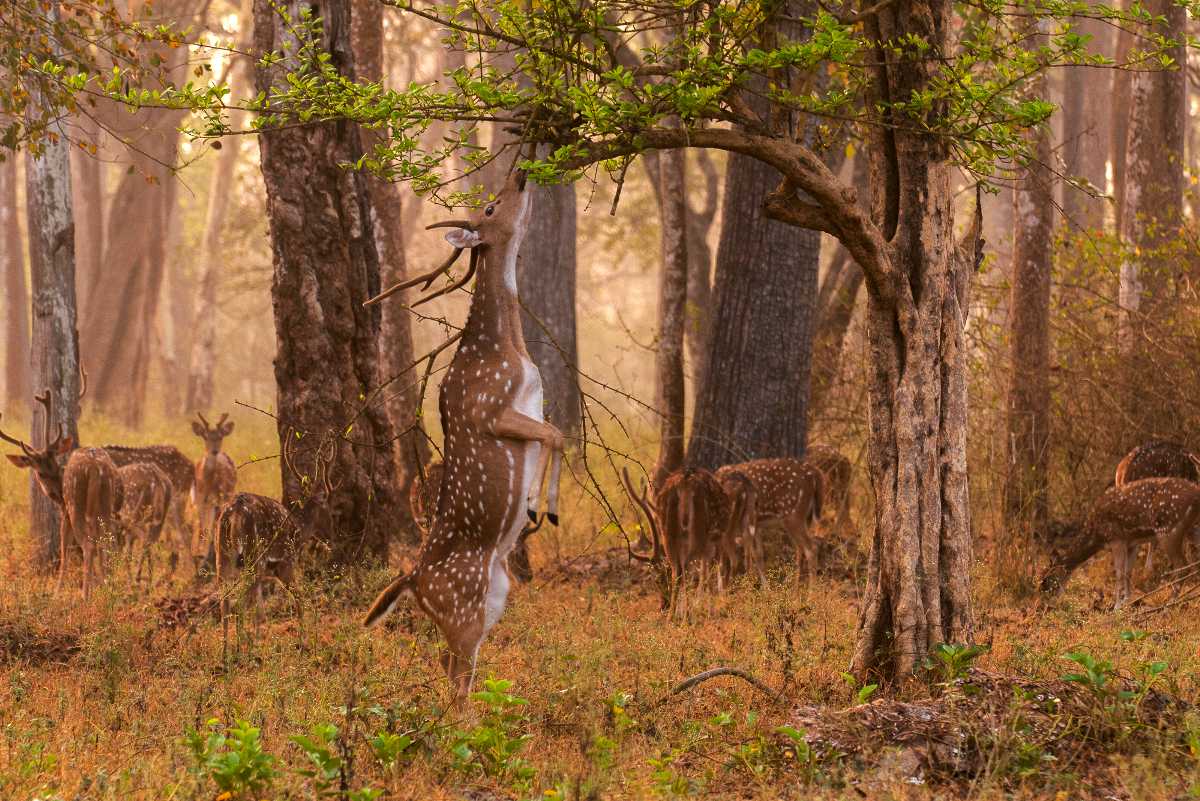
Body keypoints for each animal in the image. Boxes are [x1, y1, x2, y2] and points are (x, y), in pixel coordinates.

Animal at [2, 390, 124, 597]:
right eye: (41, 472)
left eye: (51, 468)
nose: (55, 492)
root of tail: (95, 468)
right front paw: (101, 582)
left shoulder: (65, 511)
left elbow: (64, 549)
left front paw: (57, 592)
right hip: (107, 505)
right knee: (109, 542)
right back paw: (110, 586)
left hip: (76, 504)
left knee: (88, 544)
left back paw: (84, 594)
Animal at [190, 412, 235, 568]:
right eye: (205, 436)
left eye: (220, 436)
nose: (214, 451)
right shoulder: (199, 501)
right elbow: (201, 529)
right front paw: (198, 554)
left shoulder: (219, 499)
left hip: (227, 496)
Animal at [357, 170, 564, 700]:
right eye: (489, 209)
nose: (522, 174)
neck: (508, 349)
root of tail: (410, 581)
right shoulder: (490, 408)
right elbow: (555, 436)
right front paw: (537, 504)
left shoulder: (531, 406)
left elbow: (557, 433)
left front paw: (540, 505)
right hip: (463, 604)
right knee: (455, 674)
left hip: (494, 598)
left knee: (449, 665)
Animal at [1036, 474, 1195, 606]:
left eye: (1048, 580)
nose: (1043, 604)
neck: (1097, 535)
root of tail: (1196, 493)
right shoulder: (1132, 542)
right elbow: (1128, 572)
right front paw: (1127, 601)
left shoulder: (1116, 539)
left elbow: (1119, 573)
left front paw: (1117, 606)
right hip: (1191, 529)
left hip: (1169, 529)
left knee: (1182, 566)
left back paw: (1170, 603)